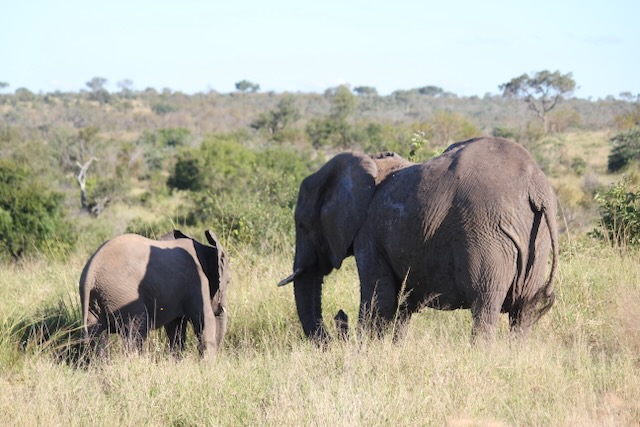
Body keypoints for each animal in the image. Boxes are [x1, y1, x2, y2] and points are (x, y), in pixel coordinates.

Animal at [79, 229, 231, 357]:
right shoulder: (196, 282)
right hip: (123, 295)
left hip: (97, 299)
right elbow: (204, 319)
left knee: (97, 337)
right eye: (229, 282)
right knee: (137, 333)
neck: (205, 249)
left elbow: (175, 326)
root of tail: (90, 273)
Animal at [279, 136, 558, 341]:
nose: (339, 318)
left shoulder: (368, 233)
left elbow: (378, 300)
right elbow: (403, 304)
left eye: (303, 225)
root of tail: (535, 186)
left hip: (488, 236)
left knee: (485, 308)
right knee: (522, 314)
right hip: (537, 238)